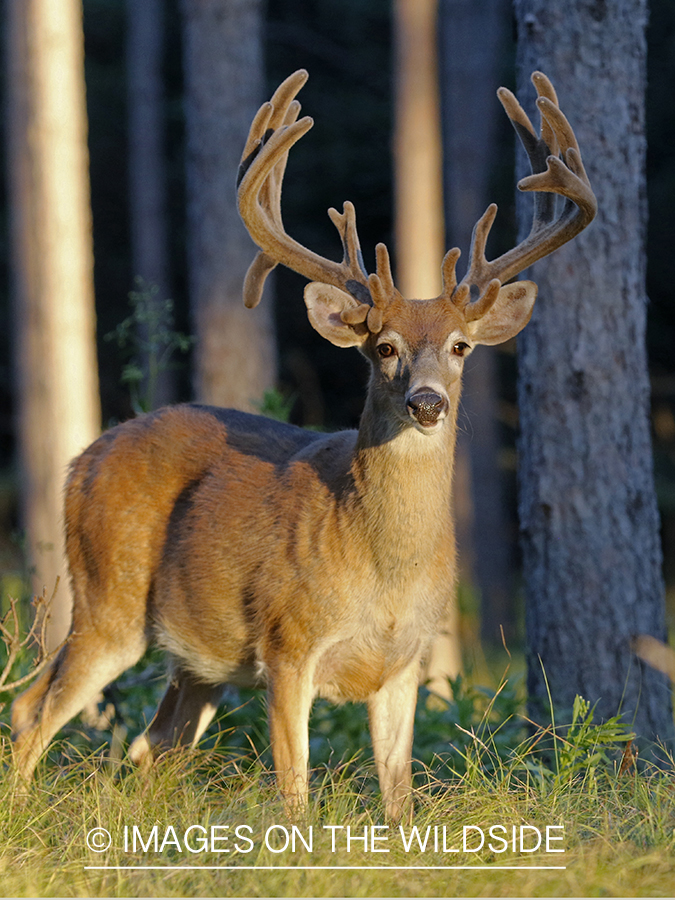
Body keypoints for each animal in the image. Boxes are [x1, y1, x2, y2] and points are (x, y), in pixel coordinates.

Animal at [11, 67, 596, 820]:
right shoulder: (288, 641)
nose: (427, 402)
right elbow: (294, 791)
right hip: (108, 597)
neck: (383, 567)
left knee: (150, 743)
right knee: (36, 711)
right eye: (384, 347)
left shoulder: (406, 661)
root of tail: (79, 460)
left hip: (198, 661)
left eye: (461, 347)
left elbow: (399, 799)